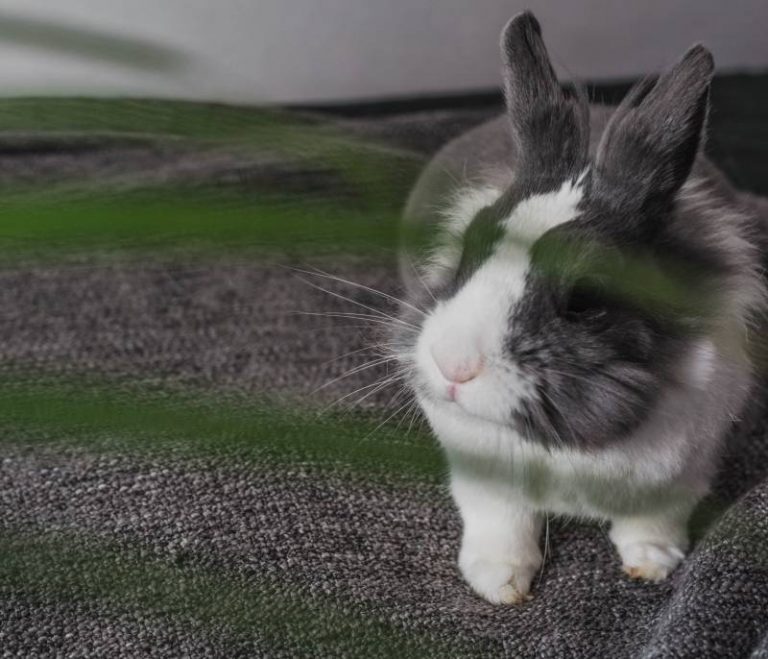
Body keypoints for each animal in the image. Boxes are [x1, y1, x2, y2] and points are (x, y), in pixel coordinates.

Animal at [391, 11, 768, 605]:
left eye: (585, 298)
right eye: (468, 248)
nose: (453, 366)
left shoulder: (684, 471)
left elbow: (653, 522)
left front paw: (653, 564)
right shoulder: (481, 475)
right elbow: (501, 522)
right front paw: (499, 584)